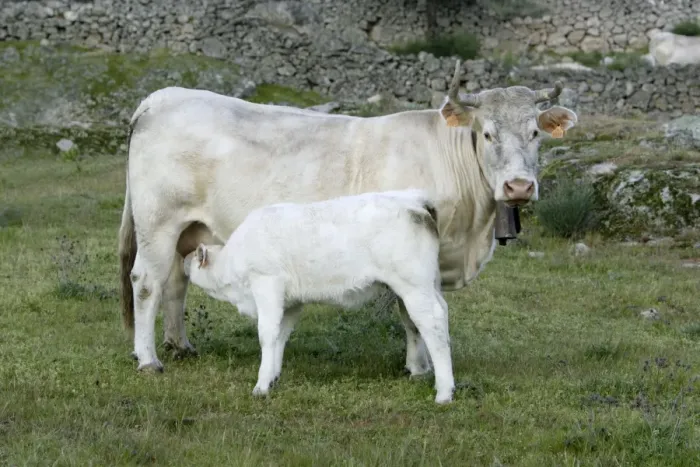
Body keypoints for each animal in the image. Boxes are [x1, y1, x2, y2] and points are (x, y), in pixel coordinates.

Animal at [118, 60, 578, 374]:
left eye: (535, 133)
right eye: (487, 133)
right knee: (146, 282)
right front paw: (417, 368)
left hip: (188, 227)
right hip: (157, 221)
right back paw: (148, 359)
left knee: (176, 281)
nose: (518, 187)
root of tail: (161, 97)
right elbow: (412, 315)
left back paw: (180, 346)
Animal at [183, 189, 454, 403]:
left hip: (413, 285)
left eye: (195, 258)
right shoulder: (291, 302)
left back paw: (444, 392)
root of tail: (415, 199)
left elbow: (267, 335)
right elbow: (281, 335)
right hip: (428, 284)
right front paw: (273, 377)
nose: (183, 260)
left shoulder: (267, 284)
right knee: (440, 314)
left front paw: (260, 387)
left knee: (432, 323)